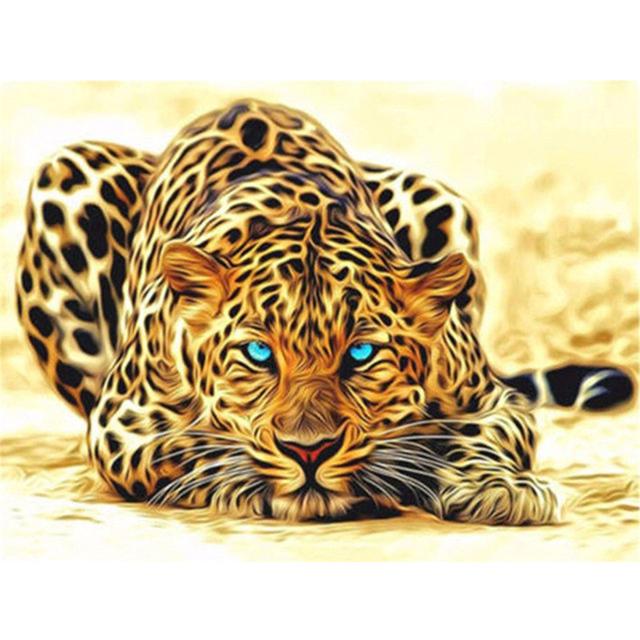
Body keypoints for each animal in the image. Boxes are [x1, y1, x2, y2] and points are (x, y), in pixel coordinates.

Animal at [15, 98, 634, 524]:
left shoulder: (491, 400)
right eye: (258, 353)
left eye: (360, 354)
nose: (308, 451)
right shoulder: (121, 421)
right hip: (64, 173)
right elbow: (189, 446)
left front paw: (497, 488)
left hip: (436, 195)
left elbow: (471, 434)